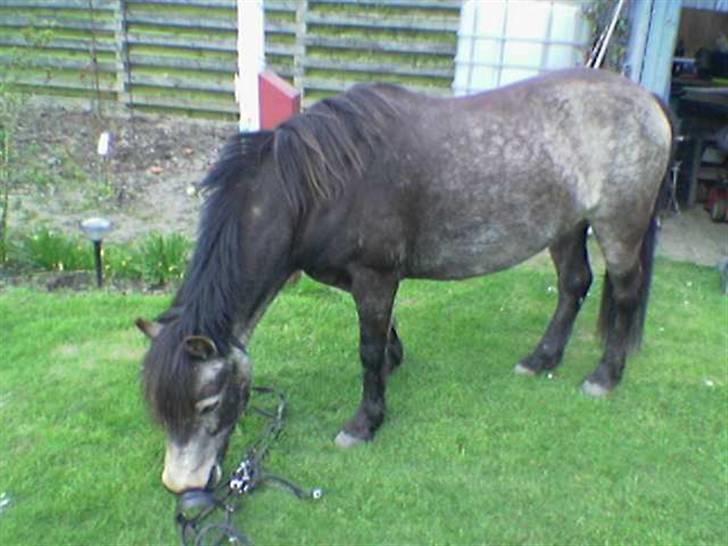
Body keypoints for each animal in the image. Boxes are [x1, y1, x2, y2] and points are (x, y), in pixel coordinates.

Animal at [136, 68, 672, 494]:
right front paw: (394, 363)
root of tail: (647, 99)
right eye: (159, 409)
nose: (182, 485)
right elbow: (384, 334)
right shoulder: (360, 277)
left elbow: (368, 349)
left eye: (209, 403)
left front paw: (365, 422)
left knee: (624, 291)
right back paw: (542, 359)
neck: (320, 186)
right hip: (565, 227)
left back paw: (604, 376)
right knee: (573, 285)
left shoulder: (375, 275)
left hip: (618, 227)